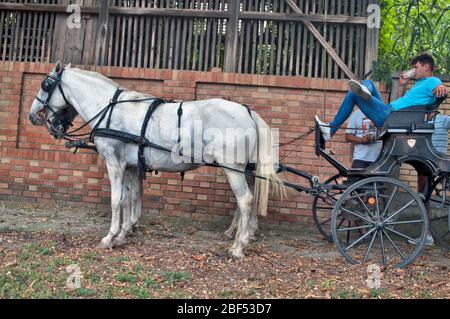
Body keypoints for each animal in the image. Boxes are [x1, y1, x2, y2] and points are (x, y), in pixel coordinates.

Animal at [29, 62, 284, 258]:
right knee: (247, 201)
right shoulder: (131, 166)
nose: (33, 116)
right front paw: (124, 233)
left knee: (245, 201)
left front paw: (110, 236)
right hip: (243, 170)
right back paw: (241, 235)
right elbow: (130, 198)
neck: (110, 109)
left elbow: (116, 200)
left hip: (232, 168)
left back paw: (238, 247)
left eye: (45, 85)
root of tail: (248, 112)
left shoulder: (115, 163)